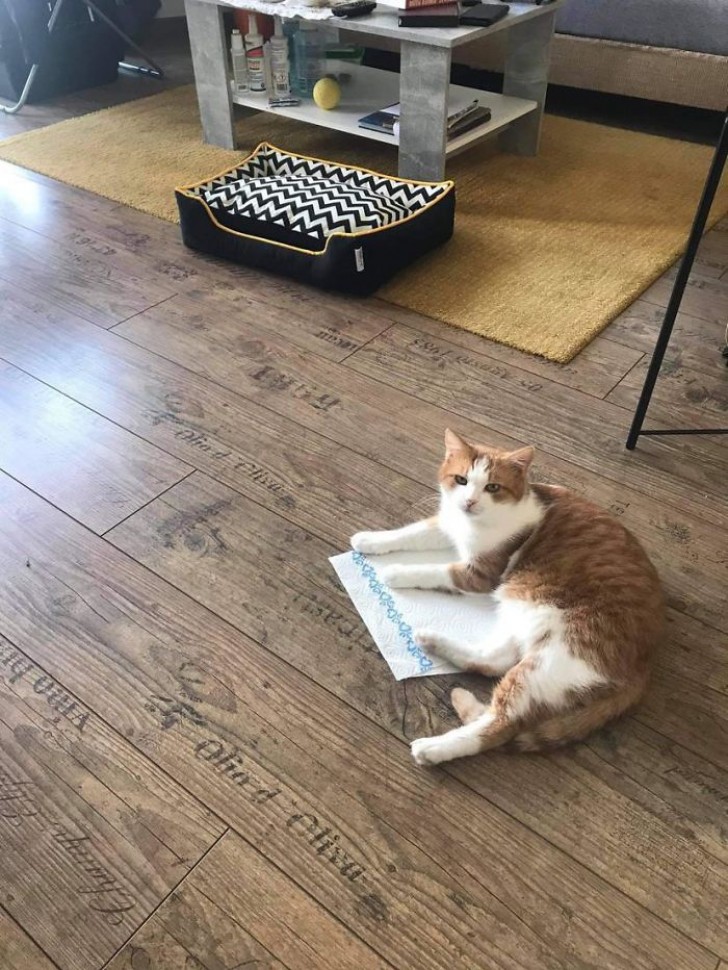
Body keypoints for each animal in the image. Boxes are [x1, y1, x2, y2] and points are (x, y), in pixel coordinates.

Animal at [350, 430, 664, 764]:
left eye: (493, 487)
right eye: (461, 480)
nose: (469, 502)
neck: (471, 525)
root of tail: (644, 666)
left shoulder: (479, 574)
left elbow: (434, 570)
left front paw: (395, 572)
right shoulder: (446, 525)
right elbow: (410, 532)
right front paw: (369, 540)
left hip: (553, 657)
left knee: (501, 723)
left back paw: (432, 748)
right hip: (524, 617)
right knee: (493, 661)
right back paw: (431, 640)